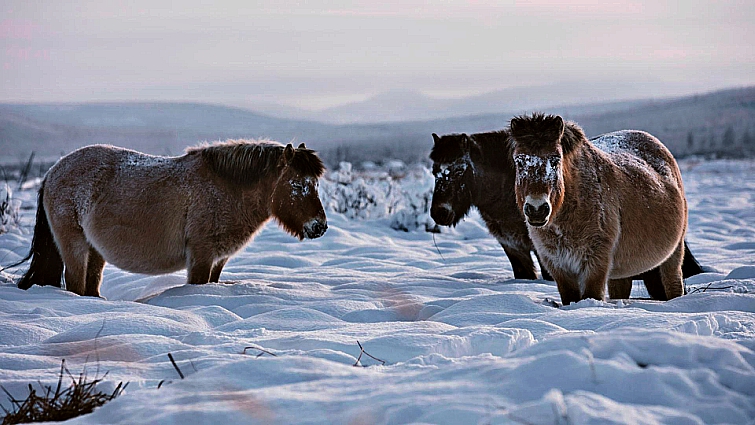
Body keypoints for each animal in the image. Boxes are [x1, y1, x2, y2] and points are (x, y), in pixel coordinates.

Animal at [10, 138, 326, 294]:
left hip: (94, 250)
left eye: (315, 183)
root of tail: (53, 172)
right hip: (73, 247)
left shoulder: (218, 260)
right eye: (298, 184)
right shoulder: (201, 256)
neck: (226, 188)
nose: (319, 227)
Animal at [508, 113, 692, 304]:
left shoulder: (596, 264)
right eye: (519, 161)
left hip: (674, 254)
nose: (537, 209)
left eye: (555, 159)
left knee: (673, 285)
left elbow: (591, 295)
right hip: (619, 274)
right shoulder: (558, 266)